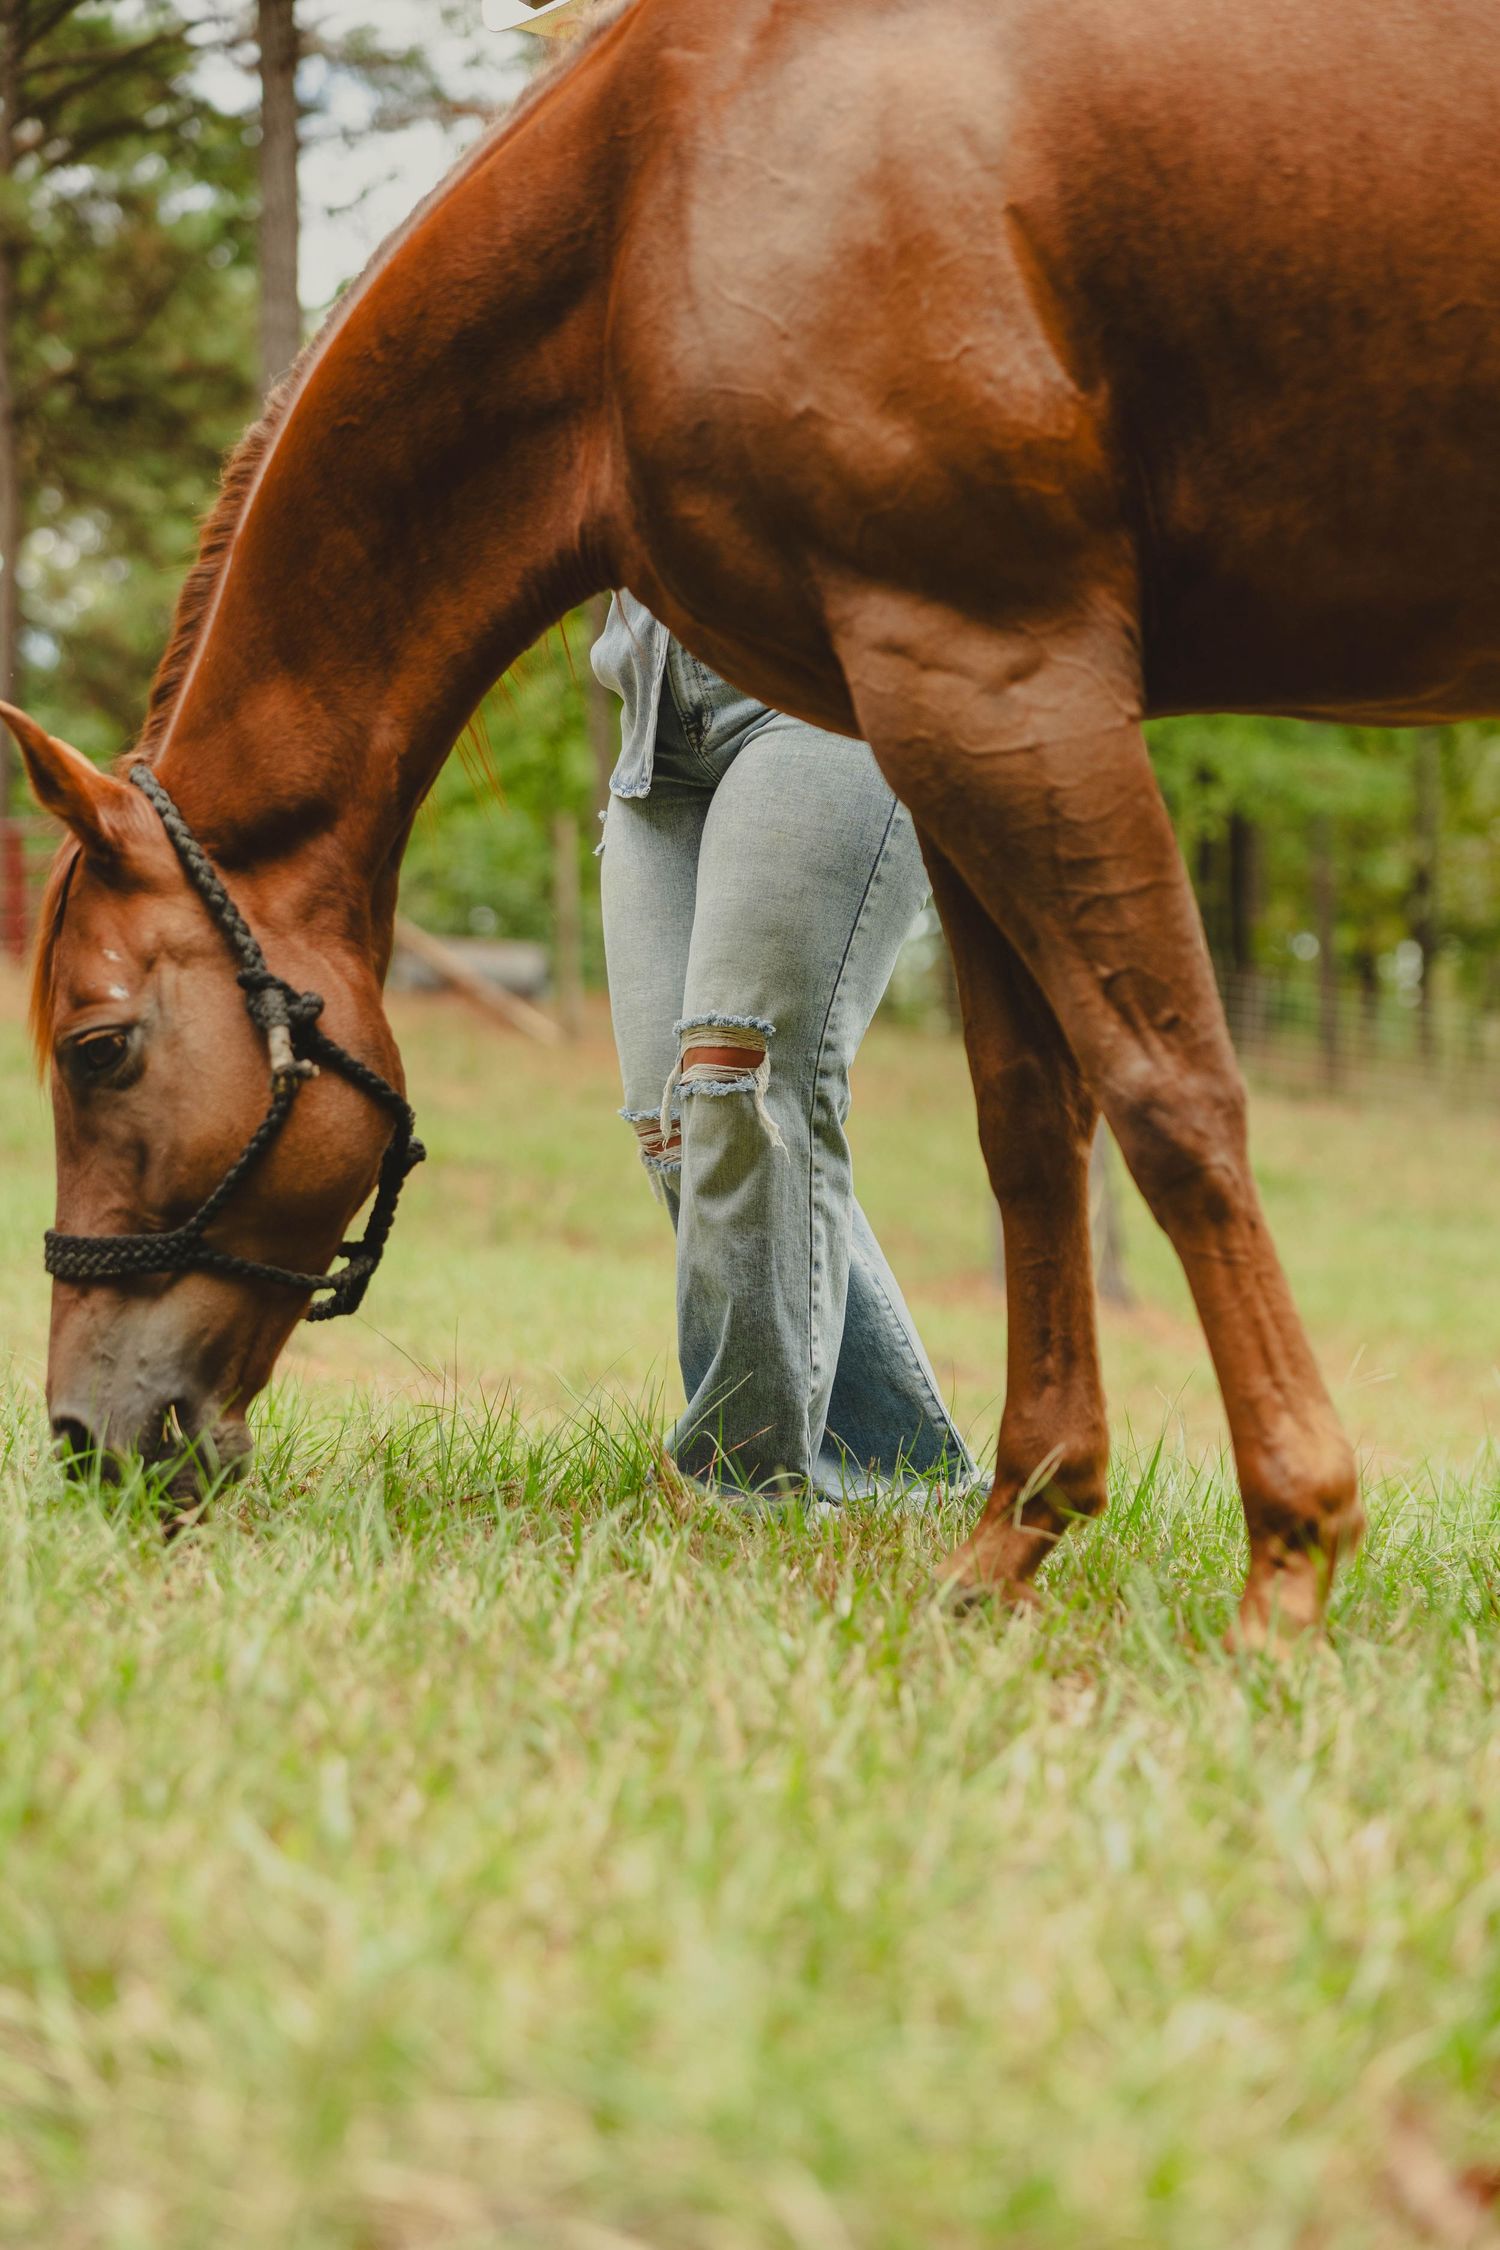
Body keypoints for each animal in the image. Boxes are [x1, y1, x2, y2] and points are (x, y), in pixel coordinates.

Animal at [7, 0, 1499, 1646]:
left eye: (99, 1048)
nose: (82, 1438)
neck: (655, 190)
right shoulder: (948, 713)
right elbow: (1029, 1124)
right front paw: (1014, 1540)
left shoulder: (1007, 672)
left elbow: (1172, 1094)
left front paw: (1290, 1560)